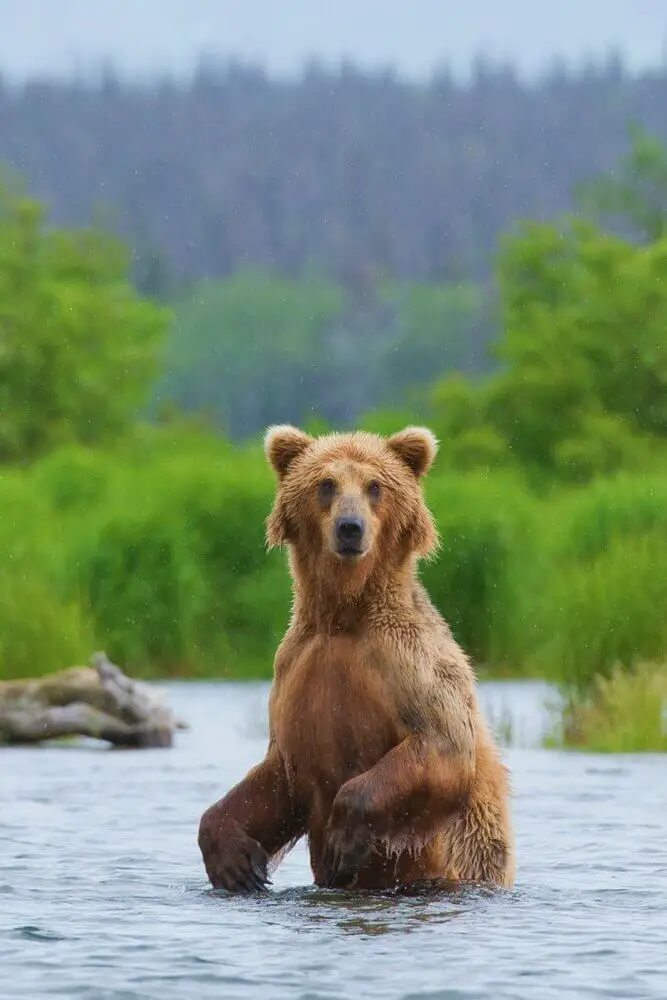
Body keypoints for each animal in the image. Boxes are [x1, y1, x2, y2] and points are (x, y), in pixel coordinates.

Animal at [198, 422, 516, 892]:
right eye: (326, 484)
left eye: (375, 486)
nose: (350, 528)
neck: (344, 615)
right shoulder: (296, 671)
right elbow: (275, 777)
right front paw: (237, 863)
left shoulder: (408, 663)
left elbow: (441, 745)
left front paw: (341, 842)